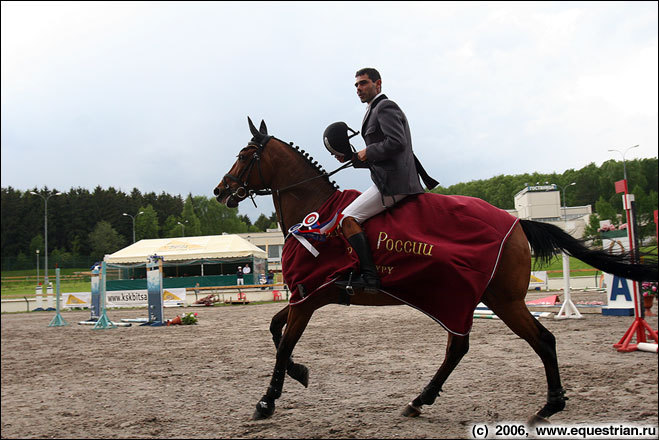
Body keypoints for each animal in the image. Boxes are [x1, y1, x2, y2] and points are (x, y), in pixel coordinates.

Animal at [214, 117, 656, 422]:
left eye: (244, 155)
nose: (220, 191)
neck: (316, 212)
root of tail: (516, 223)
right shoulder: (308, 296)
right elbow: (276, 331)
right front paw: (300, 373)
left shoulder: (309, 298)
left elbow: (284, 342)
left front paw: (266, 401)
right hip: (470, 298)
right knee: (461, 347)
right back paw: (420, 400)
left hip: (499, 299)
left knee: (539, 340)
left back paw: (548, 406)